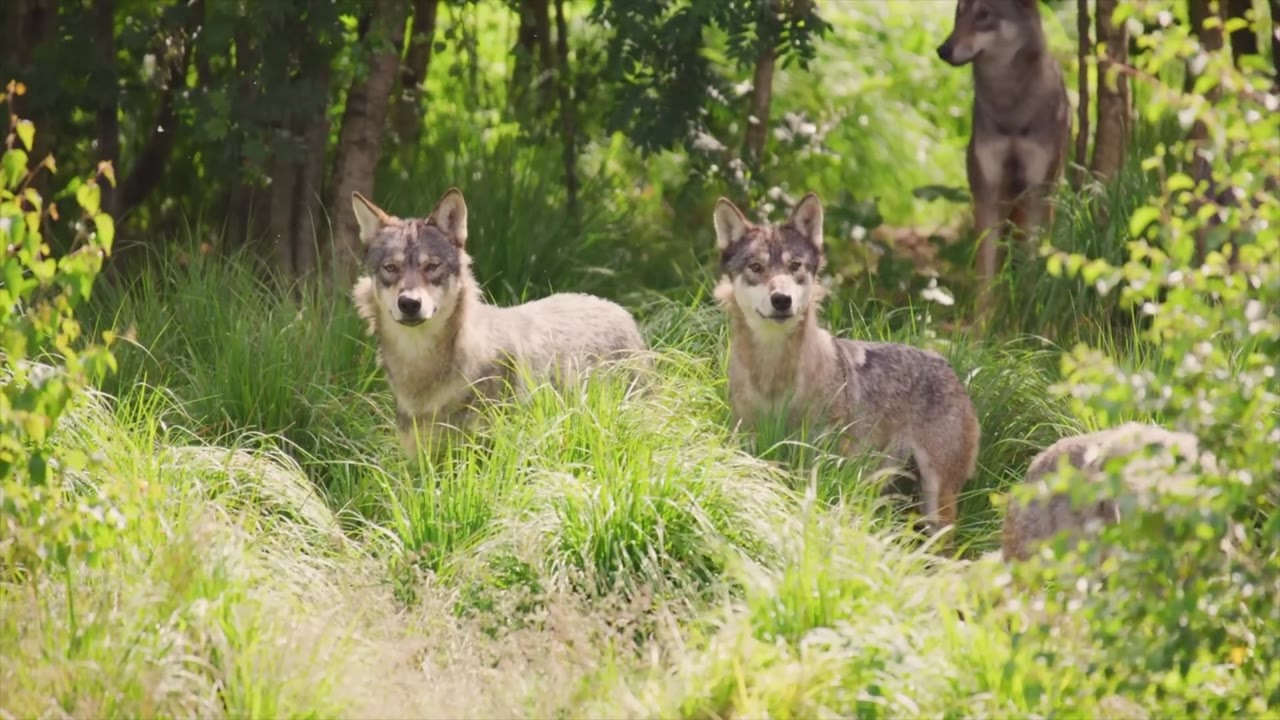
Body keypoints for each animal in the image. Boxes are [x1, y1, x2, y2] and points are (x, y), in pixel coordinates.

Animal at [711, 193, 981, 534]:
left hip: (936, 500)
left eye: (795, 266)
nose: (782, 300)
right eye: (756, 267)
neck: (774, 379)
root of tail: (947, 366)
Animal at [936, 0, 1071, 312]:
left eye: (984, 14)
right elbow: (985, 279)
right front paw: (983, 325)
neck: (1010, 108)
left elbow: (1031, 269)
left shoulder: (1036, 195)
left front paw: (1025, 315)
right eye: (959, 12)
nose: (943, 50)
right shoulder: (986, 193)